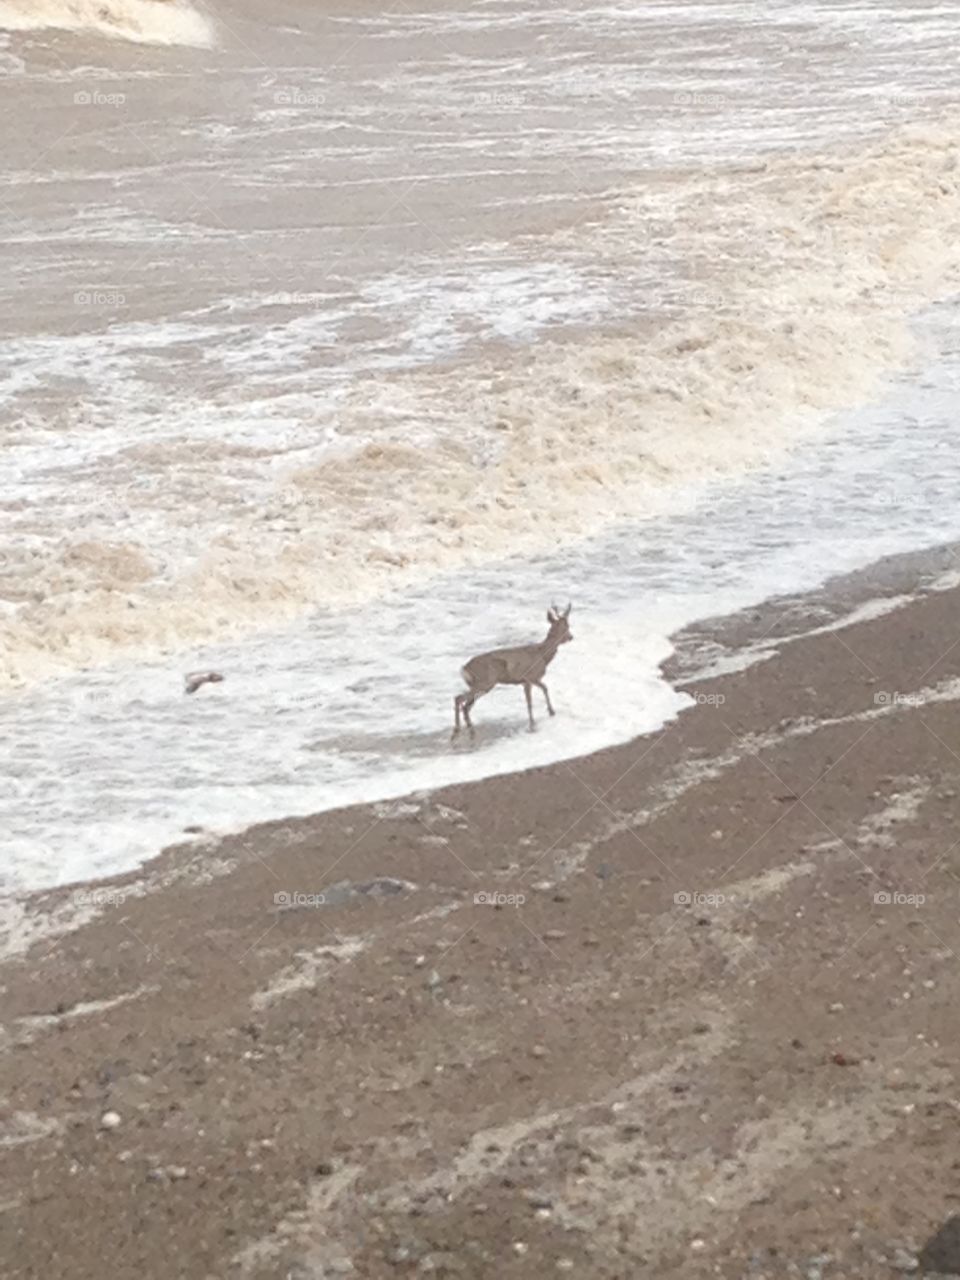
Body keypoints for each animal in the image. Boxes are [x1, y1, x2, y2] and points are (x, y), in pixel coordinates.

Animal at [450, 601, 570, 742]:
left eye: (567, 625)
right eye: (564, 626)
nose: (571, 637)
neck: (542, 654)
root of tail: (465, 668)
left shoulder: (530, 679)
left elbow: (544, 689)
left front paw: (551, 712)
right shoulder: (528, 677)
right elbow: (531, 701)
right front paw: (533, 724)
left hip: (480, 684)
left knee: (465, 704)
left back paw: (467, 731)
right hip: (485, 682)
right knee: (460, 700)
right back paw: (459, 732)